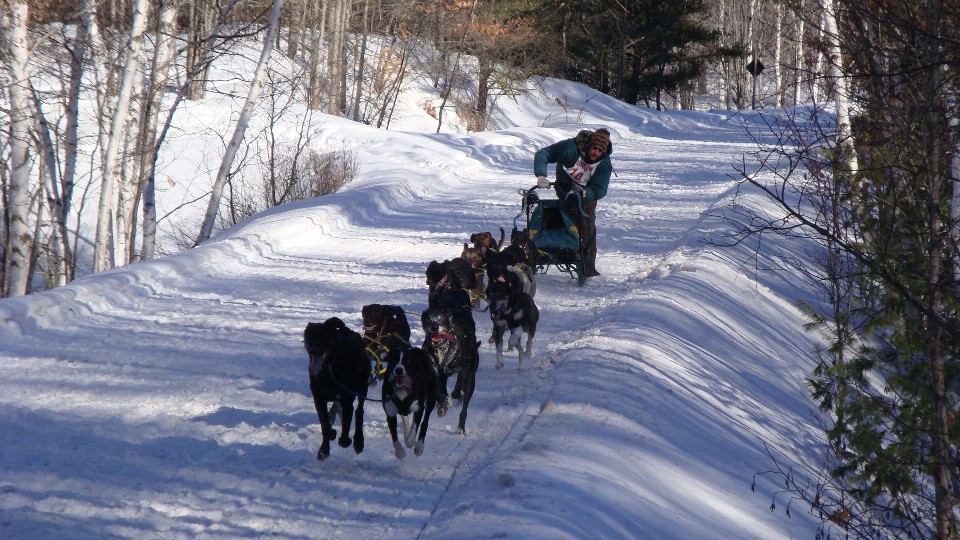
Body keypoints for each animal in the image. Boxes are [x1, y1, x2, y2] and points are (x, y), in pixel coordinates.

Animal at [304, 318, 372, 462]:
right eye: (309, 336)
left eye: (323, 336)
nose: (313, 350)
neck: (328, 372)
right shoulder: (319, 399)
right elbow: (325, 424)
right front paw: (324, 448)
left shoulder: (347, 401)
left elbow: (346, 428)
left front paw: (345, 440)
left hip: (363, 385)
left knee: (359, 410)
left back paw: (358, 441)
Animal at [422, 304, 478, 434]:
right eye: (428, 318)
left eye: (441, 318)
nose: (434, 327)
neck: (442, 347)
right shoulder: (435, 374)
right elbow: (438, 392)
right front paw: (444, 404)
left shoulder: (464, 368)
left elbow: (459, 383)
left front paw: (455, 394)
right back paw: (442, 407)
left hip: (470, 380)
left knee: (464, 407)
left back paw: (461, 428)